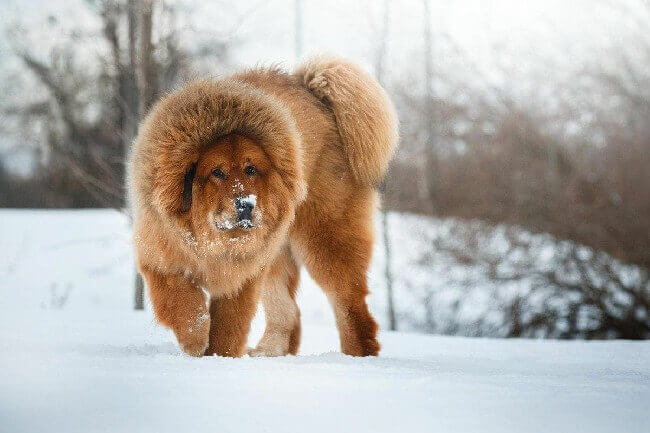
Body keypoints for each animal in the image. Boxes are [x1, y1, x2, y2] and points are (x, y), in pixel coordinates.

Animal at [128, 55, 394, 356]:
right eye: (217, 172)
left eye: (251, 169)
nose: (246, 204)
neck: (211, 241)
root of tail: (316, 97)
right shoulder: (161, 257)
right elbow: (182, 304)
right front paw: (196, 340)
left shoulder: (242, 278)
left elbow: (228, 326)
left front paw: (218, 355)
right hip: (276, 255)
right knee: (288, 312)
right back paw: (268, 352)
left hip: (326, 240)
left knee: (349, 307)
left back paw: (357, 356)